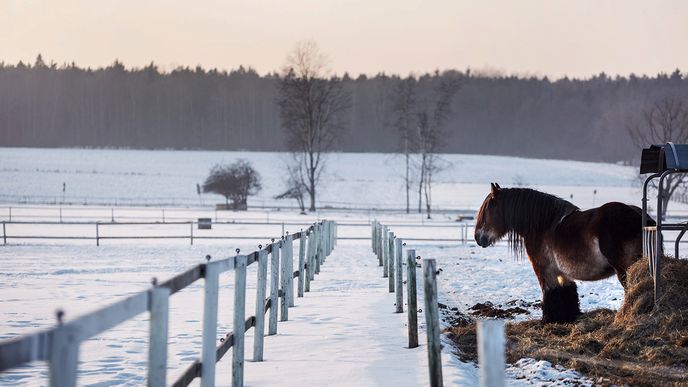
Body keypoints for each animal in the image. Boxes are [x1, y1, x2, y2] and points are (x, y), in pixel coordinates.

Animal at [472, 183, 652, 322]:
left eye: (486, 211)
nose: (478, 237)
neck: (543, 225)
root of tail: (641, 217)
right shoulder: (562, 272)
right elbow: (567, 292)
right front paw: (569, 317)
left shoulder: (544, 270)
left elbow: (550, 293)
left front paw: (548, 320)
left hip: (625, 269)